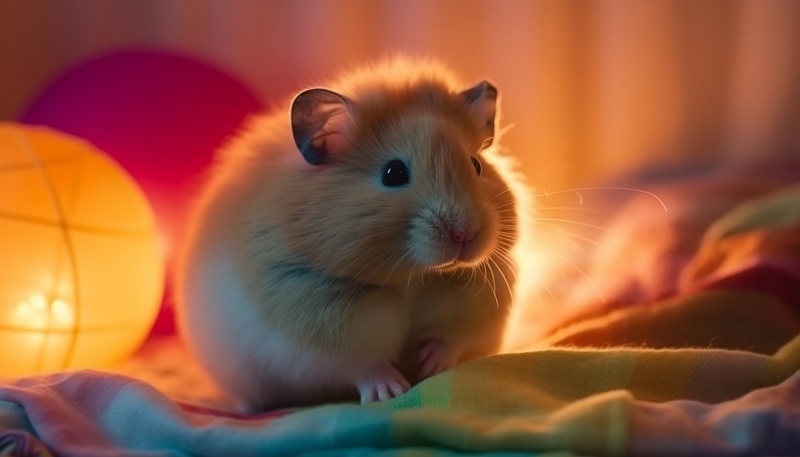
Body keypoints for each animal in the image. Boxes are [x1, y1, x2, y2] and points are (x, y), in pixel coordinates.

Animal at [175, 57, 522, 411]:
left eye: (476, 165)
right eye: (393, 173)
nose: (465, 234)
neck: (414, 280)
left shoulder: (476, 311)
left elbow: (449, 339)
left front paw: (430, 365)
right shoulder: (322, 332)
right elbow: (364, 364)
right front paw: (392, 391)